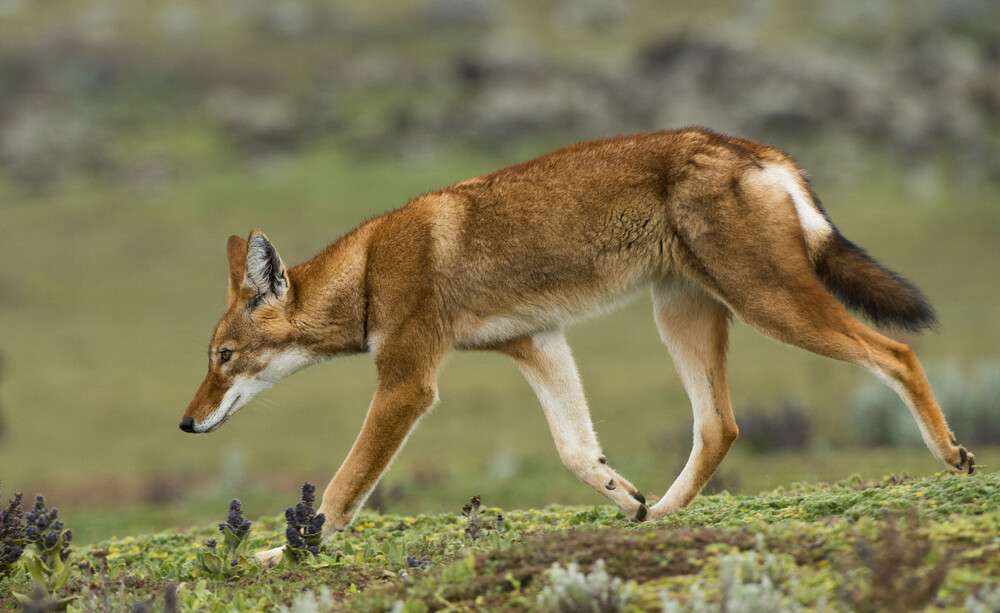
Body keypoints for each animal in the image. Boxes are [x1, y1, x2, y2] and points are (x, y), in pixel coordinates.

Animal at [180, 129, 976, 564]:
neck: (371, 268)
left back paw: (953, 456)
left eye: (223, 358)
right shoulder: (538, 344)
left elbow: (341, 491)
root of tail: (760, 150)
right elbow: (573, 449)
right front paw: (625, 496)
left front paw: (283, 551)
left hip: (770, 307)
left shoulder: (408, 384)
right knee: (720, 426)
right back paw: (661, 516)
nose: (187, 423)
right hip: (682, 316)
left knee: (895, 354)